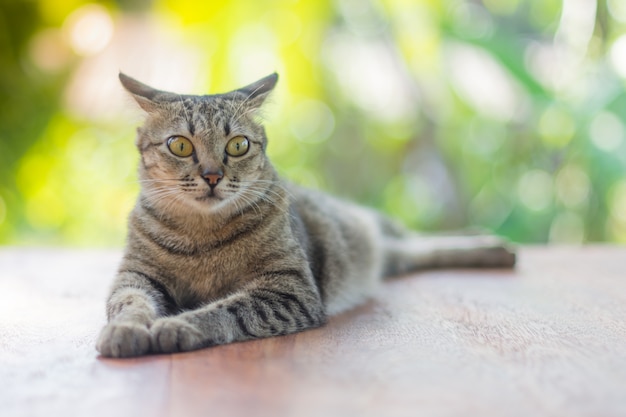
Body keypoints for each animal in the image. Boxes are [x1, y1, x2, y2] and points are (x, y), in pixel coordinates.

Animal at [95, 72, 516, 358]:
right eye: (180, 145)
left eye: (238, 145)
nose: (213, 176)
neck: (202, 236)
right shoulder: (136, 275)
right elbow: (130, 303)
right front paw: (126, 329)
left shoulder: (290, 289)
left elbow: (224, 310)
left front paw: (177, 324)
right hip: (389, 253)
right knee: (411, 251)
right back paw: (490, 247)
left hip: (372, 226)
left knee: (412, 237)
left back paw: (490, 242)